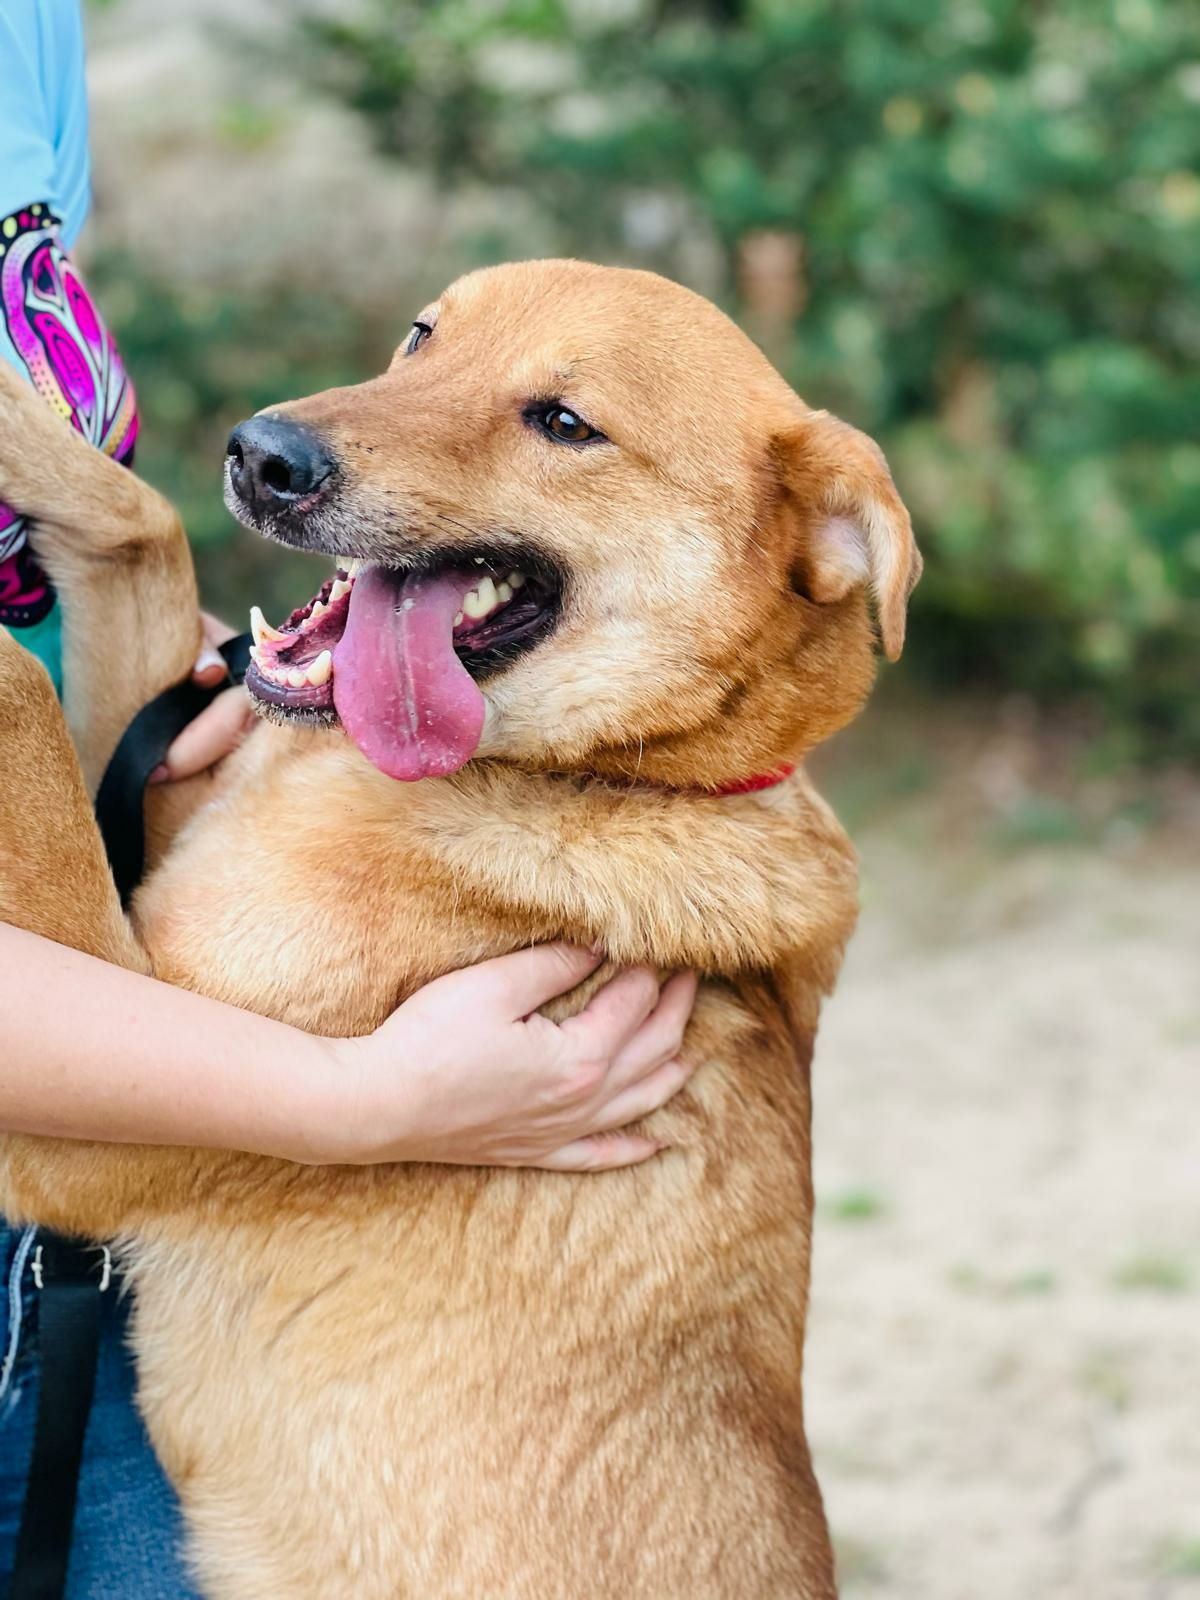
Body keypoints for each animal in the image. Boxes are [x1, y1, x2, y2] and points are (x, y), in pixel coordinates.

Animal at [0, 262, 921, 1600]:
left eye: (564, 423)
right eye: (422, 337)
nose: (262, 456)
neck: (607, 771)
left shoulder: (78, 1130)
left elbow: (18, 686)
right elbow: (138, 524)